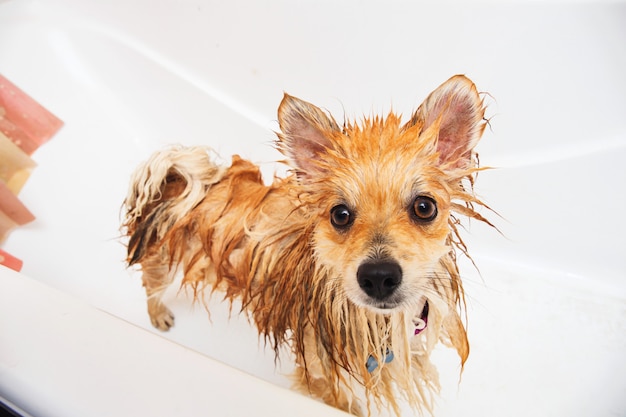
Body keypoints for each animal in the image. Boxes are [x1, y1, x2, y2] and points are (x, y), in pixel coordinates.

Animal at [123, 74, 492, 412]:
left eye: (424, 207)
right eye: (340, 214)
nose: (378, 276)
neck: (378, 322)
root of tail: (179, 179)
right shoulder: (320, 373)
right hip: (163, 258)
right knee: (151, 286)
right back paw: (159, 315)